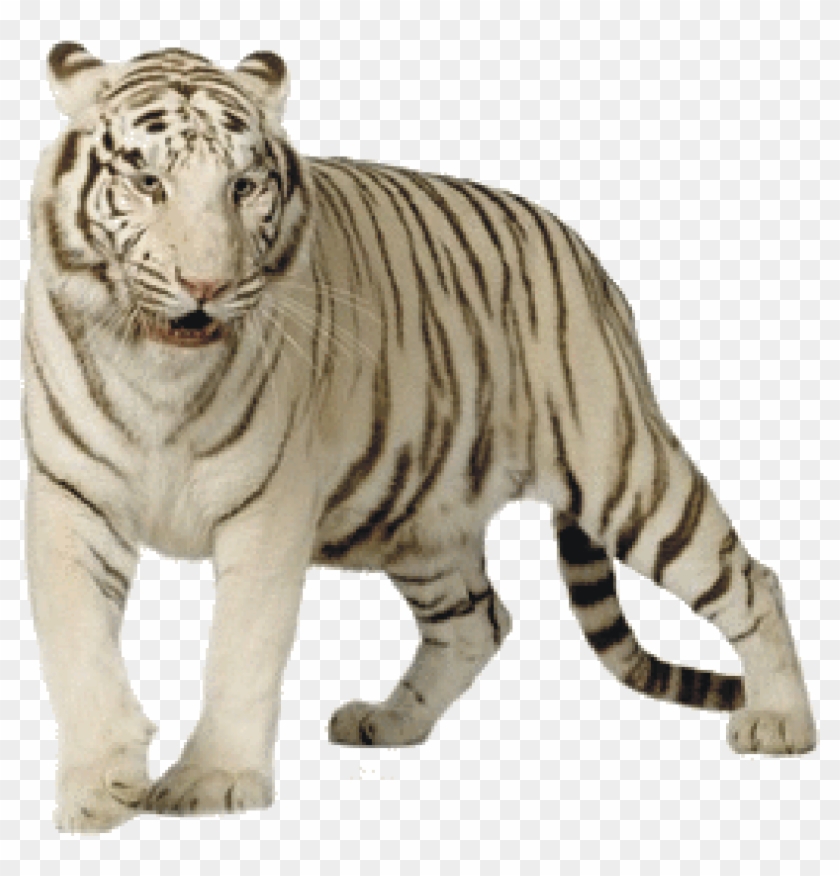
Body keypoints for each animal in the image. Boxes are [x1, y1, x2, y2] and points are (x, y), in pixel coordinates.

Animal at [23, 42, 816, 832]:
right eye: (147, 182)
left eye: (244, 185)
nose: (206, 286)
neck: (160, 373)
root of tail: (583, 255)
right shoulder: (71, 501)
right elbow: (77, 645)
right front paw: (99, 787)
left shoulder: (267, 512)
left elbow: (239, 651)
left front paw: (213, 780)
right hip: (417, 516)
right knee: (479, 620)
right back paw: (390, 720)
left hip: (621, 469)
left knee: (753, 579)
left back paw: (782, 721)